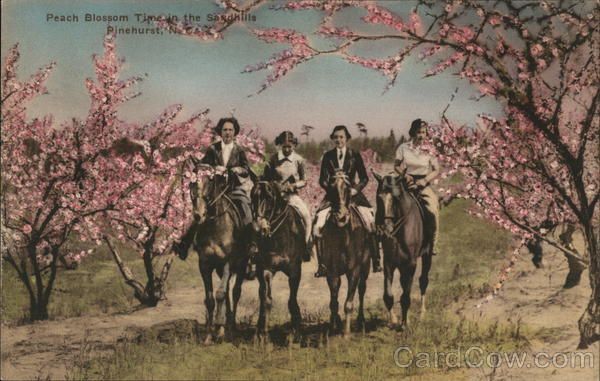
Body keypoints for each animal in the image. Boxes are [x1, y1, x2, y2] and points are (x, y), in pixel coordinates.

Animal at [191, 169, 250, 342]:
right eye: (191, 183)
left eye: (210, 183)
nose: (198, 215)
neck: (214, 227)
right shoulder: (204, 265)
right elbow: (210, 300)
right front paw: (209, 334)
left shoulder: (227, 263)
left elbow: (220, 294)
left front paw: (219, 327)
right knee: (229, 290)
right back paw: (226, 324)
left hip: (241, 263)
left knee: (235, 292)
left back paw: (232, 326)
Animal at [250, 180, 304, 336]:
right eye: (253, 197)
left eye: (269, 198)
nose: (258, 228)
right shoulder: (267, 269)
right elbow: (267, 299)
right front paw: (264, 332)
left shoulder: (295, 271)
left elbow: (292, 299)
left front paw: (296, 327)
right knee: (261, 294)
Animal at [322, 170, 372, 336]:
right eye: (331, 188)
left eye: (348, 188)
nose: (341, 217)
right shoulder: (332, 271)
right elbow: (333, 301)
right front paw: (333, 327)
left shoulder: (354, 270)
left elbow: (348, 303)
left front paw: (346, 333)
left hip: (366, 266)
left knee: (362, 289)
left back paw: (361, 321)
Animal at [372, 172, 434, 330]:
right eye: (379, 198)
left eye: (395, 198)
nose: (386, 229)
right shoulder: (389, 262)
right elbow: (388, 295)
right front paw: (393, 321)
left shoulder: (411, 263)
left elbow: (406, 296)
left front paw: (404, 325)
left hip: (427, 256)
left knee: (423, 281)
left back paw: (421, 314)